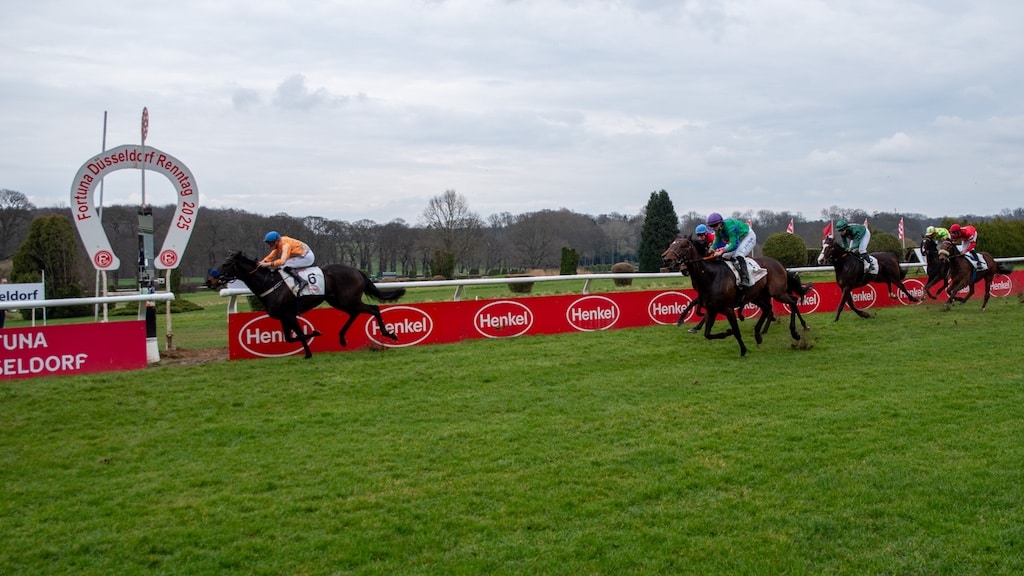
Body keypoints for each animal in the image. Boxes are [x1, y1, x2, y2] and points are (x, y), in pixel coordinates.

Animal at [203, 252, 403, 358]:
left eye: (225, 264)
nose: (209, 281)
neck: (269, 283)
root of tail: (357, 271)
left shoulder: (289, 315)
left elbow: (298, 334)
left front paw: (309, 348)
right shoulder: (283, 317)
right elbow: (289, 337)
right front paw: (312, 340)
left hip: (348, 299)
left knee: (373, 309)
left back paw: (389, 334)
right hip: (339, 301)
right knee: (355, 313)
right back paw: (342, 338)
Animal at [663, 236, 806, 354]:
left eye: (683, 245)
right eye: (671, 244)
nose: (666, 259)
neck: (710, 276)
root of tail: (780, 264)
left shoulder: (728, 309)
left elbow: (736, 331)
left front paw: (743, 349)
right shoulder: (712, 309)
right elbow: (707, 334)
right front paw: (726, 331)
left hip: (777, 293)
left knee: (792, 301)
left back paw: (796, 332)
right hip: (757, 296)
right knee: (768, 308)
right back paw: (758, 334)